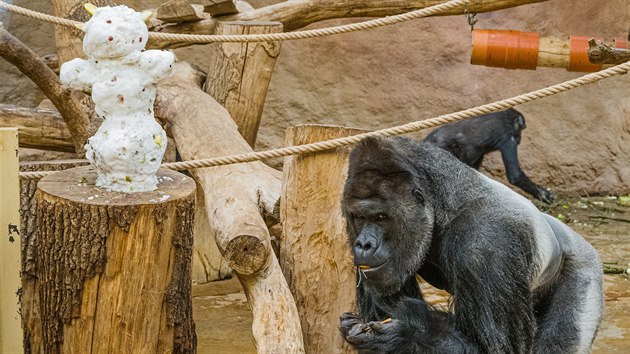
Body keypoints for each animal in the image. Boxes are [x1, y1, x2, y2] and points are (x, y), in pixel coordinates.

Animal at [338, 137, 604, 352]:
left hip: (585, 267)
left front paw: (405, 335)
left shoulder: (486, 246)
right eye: (359, 217)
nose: (363, 244)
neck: (442, 206)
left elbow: (497, 350)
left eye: (381, 217)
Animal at [428, 108, 556, 203]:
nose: (520, 139)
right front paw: (545, 195)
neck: (506, 118)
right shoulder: (508, 138)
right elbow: (515, 175)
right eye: (521, 129)